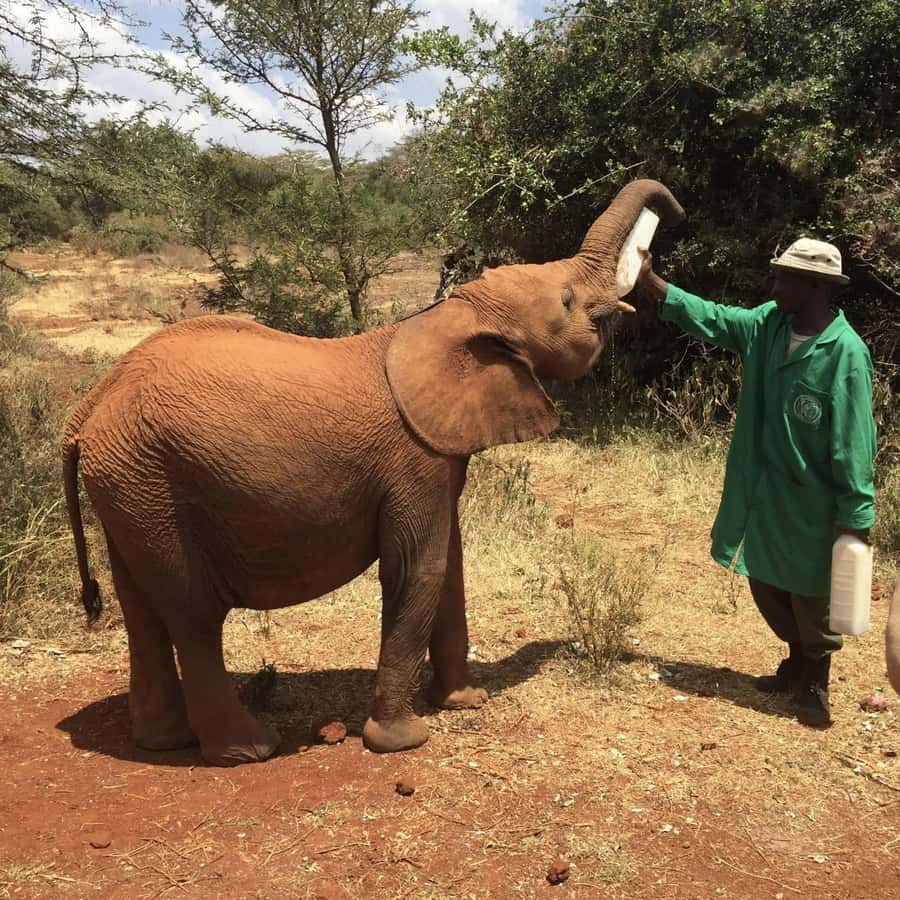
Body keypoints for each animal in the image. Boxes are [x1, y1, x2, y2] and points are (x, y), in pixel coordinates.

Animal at [62, 178, 685, 766]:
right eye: (567, 299)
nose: (673, 217)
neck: (451, 317)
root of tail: (88, 407)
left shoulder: (437, 453)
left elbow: (450, 565)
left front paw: (464, 703)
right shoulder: (412, 460)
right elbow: (419, 569)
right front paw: (404, 740)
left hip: (130, 482)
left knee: (142, 610)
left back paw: (162, 742)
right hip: (150, 481)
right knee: (193, 614)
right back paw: (248, 750)